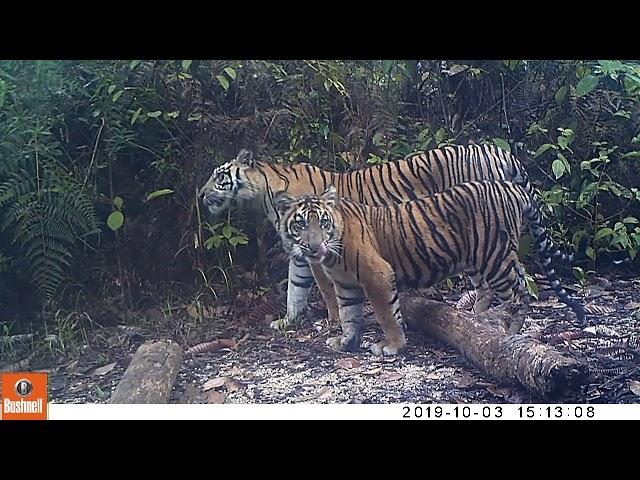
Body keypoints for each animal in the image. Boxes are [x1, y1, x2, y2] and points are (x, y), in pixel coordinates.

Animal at [199, 144, 552, 328]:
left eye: (219, 177)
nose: (200, 195)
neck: (265, 196)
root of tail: (497, 149)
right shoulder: (300, 253)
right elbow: (295, 290)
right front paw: (288, 321)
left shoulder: (319, 253)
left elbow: (325, 291)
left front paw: (333, 322)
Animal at [272, 182, 584, 354]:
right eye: (301, 224)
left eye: (323, 222)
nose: (315, 248)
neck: (333, 256)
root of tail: (512, 186)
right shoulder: (346, 284)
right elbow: (349, 315)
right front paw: (346, 342)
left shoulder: (377, 275)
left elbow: (386, 314)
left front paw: (393, 346)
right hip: (486, 258)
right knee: (508, 284)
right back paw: (477, 319)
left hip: (494, 257)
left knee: (518, 294)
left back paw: (509, 333)